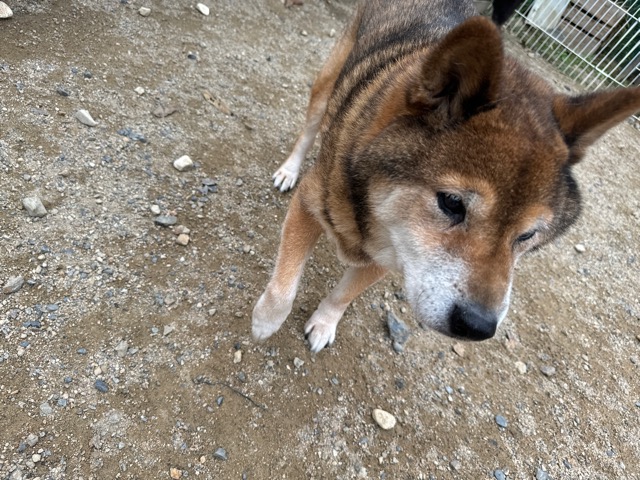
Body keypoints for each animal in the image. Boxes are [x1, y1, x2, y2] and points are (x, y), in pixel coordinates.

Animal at [252, 0, 640, 353]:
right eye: (452, 203)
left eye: (527, 235)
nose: (477, 326)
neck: (371, 200)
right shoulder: (309, 206)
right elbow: (283, 286)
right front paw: (265, 320)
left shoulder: (395, 251)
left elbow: (344, 294)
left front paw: (324, 323)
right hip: (329, 81)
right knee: (311, 126)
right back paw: (289, 170)